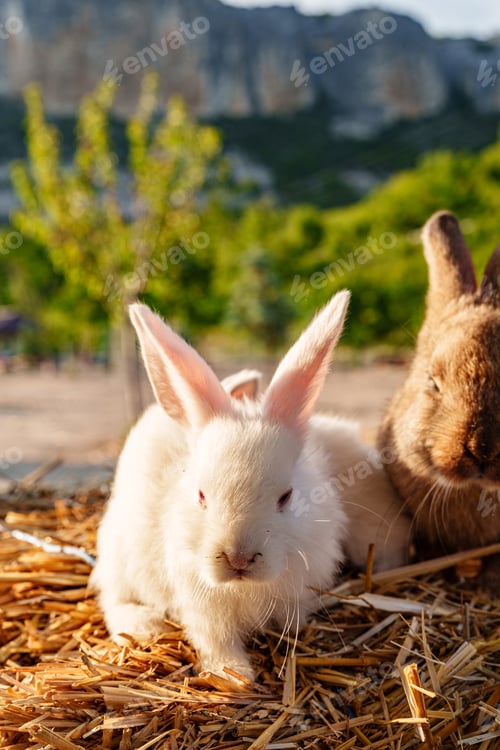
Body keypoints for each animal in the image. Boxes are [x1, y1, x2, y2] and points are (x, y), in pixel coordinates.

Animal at [92, 291, 352, 680]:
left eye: (286, 496)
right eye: (201, 495)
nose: (239, 558)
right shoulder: (204, 608)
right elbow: (217, 642)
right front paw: (236, 676)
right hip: (120, 556)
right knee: (113, 599)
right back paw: (147, 625)